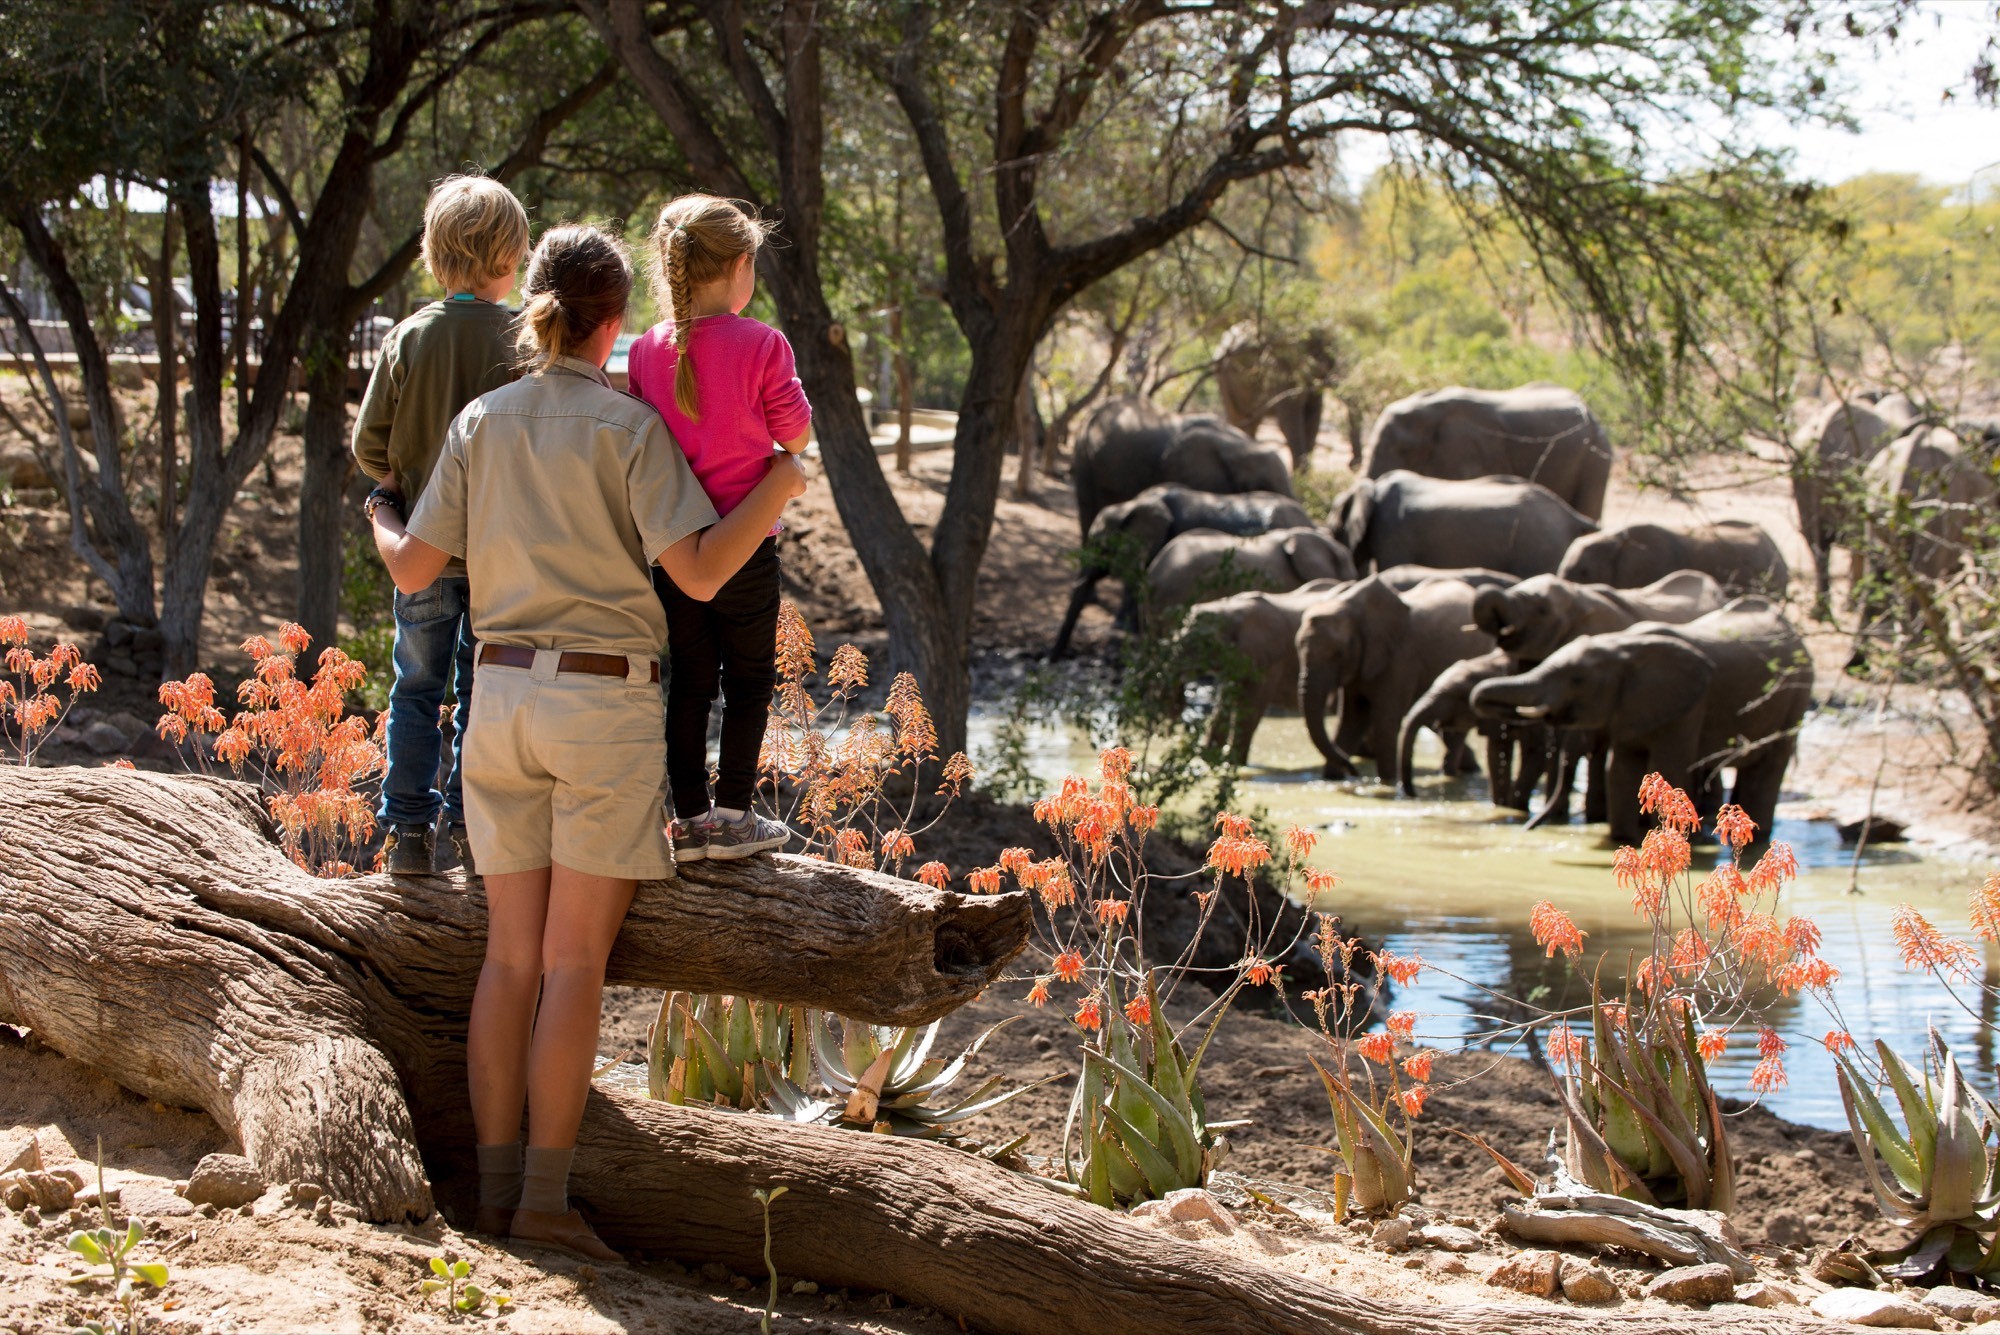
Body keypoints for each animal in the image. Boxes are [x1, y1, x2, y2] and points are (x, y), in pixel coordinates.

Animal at [1174, 579, 1348, 763]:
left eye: (1201, 645)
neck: (1229, 609)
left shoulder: (1270, 658)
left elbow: (1252, 704)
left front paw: (1234, 764)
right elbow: (1224, 701)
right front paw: (1206, 760)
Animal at [1214, 323, 1339, 470]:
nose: (1353, 464)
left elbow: (1313, 420)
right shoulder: (1282, 369)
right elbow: (1289, 421)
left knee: (1250, 423)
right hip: (1224, 376)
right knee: (1239, 419)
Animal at [1297, 576, 1491, 788]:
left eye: (1338, 654)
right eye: (1298, 649)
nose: (1353, 770)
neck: (1350, 606)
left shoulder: (1400, 658)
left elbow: (1385, 722)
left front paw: (1387, 783)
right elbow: (1351, 720)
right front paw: (1334, 779)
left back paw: (1452, 773)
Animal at [1470, 598, 1814, 846]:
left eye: (1577, 679)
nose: (1523, 829)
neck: (1624, 646)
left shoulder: (1689, 704)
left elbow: (1669, 765)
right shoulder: (1633, 707)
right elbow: (1621, 771)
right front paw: (1624, 841)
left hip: (1796, 698)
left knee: (1768, 769)